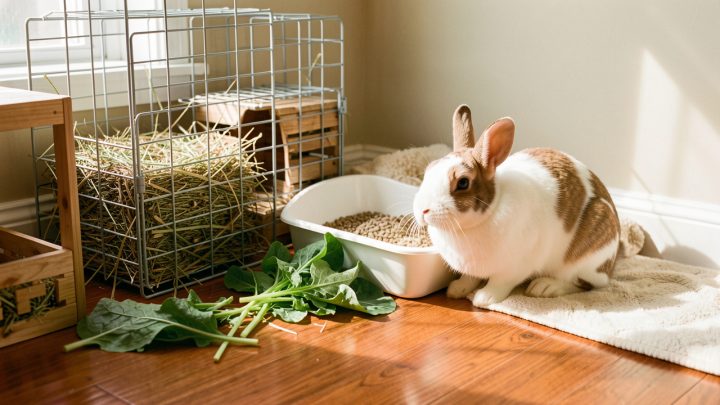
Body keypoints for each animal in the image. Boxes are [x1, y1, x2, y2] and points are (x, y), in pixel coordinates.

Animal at [413, 104, 620, 307]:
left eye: (463, 183)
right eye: (429, 170)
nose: (422, 210)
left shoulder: (514, 269)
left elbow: (499, 283)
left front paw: (484, 298)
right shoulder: (472, 270)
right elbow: (469, 278)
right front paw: (456, 289)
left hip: (588, 258)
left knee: (584, 284)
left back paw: (544, 287)